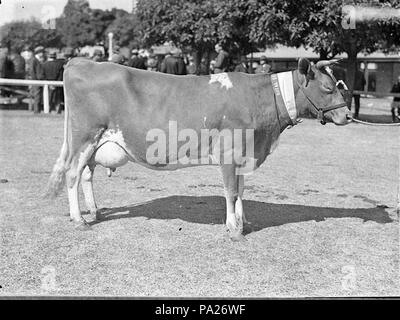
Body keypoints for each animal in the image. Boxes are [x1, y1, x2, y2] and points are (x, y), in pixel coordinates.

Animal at [47, 57, 352, 241]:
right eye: (328, 88)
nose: (348, 115)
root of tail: (81, 61)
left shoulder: (243, 154)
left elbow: (241, 191)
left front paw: (243, 222)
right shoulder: (229, 153)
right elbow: (231, 192)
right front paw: (233, 229)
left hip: (95, 143)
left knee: (87, 174)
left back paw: (94, 211)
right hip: (84, 136)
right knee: (73, 174)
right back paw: (79, 219)